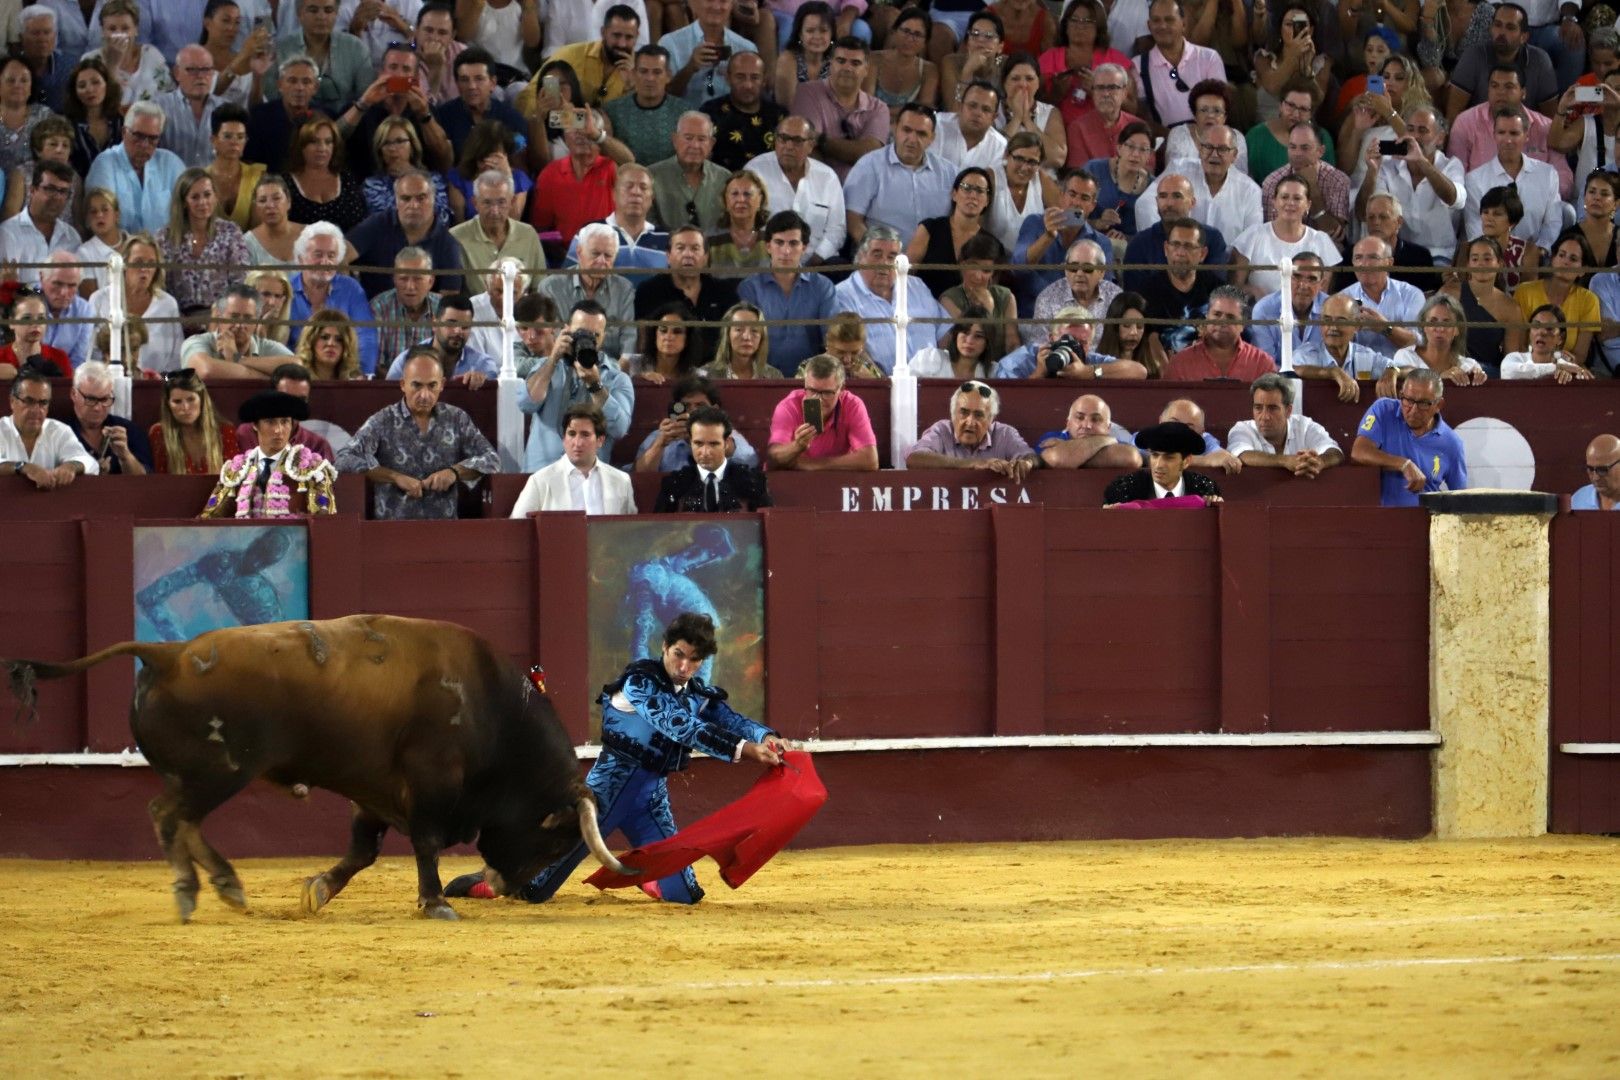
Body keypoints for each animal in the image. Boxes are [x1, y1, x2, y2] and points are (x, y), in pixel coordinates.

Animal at [3, 615, 628, 919]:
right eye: (554, 842)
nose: (503, 888)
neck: (490, 705)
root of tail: (169, 653)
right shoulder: (429, 786)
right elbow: (423, 845)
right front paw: (435, 902)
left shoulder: (375, 793)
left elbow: (362, 851)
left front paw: (319, 890)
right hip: (218, 770)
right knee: (168, 815)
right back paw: (190, 890)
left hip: (207, 774)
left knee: (184, 821)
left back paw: (227, 886)